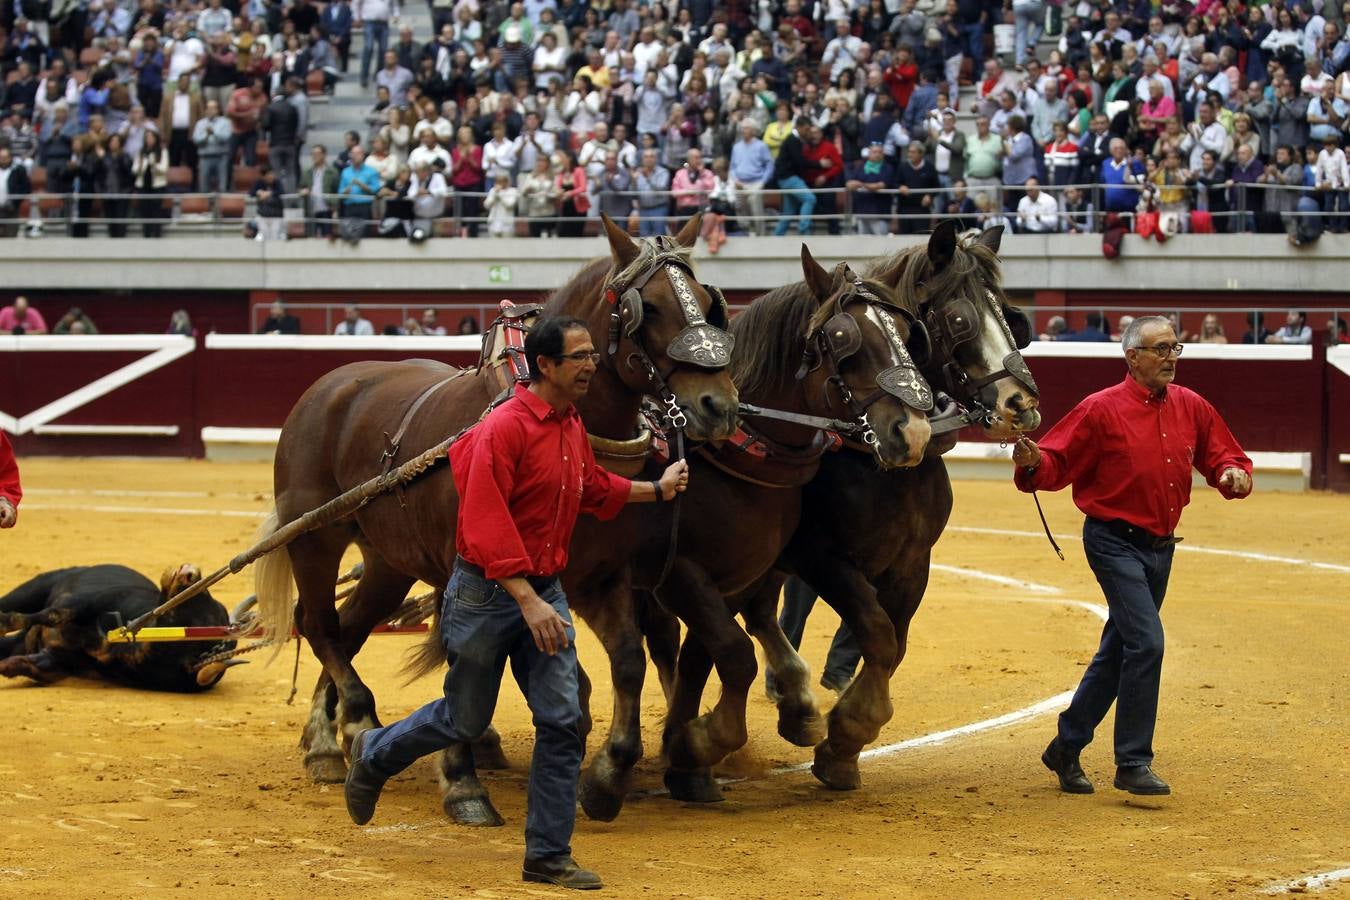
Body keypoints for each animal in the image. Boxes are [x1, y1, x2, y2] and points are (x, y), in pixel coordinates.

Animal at [413, 242, 939, 825]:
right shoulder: (691, 572)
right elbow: (733, 652)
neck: (737, 453)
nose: (913, 431)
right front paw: (695, 745)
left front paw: (688, 751)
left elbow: (709, 656)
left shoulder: (736, 577)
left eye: (908, 332)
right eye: (844, 339)